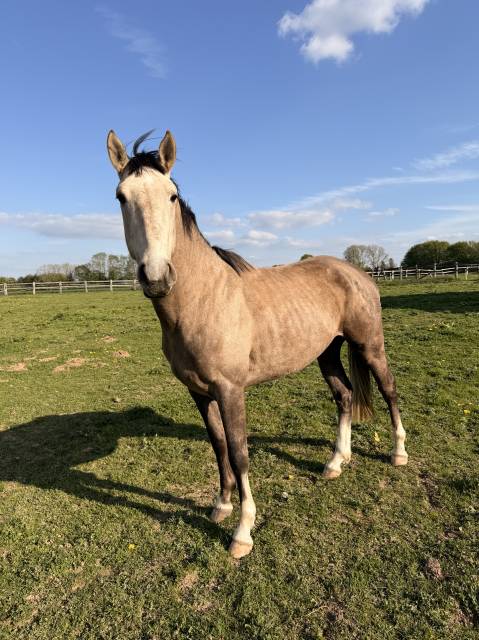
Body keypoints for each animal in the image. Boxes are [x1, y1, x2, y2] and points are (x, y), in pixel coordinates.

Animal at [106, 129, 408, 559]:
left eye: (171, 195)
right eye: (121, 196)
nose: (157, 276)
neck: (204, 300)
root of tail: (356, 272)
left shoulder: (230, 390)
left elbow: (239, 452)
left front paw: (242, 531)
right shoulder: (199, 392)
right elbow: (218, 445)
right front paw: (220, 505)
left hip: (370, 346)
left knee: (389, 390)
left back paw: (398, 453)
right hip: (327, 352)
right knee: (345, 396)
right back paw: (336, 462)